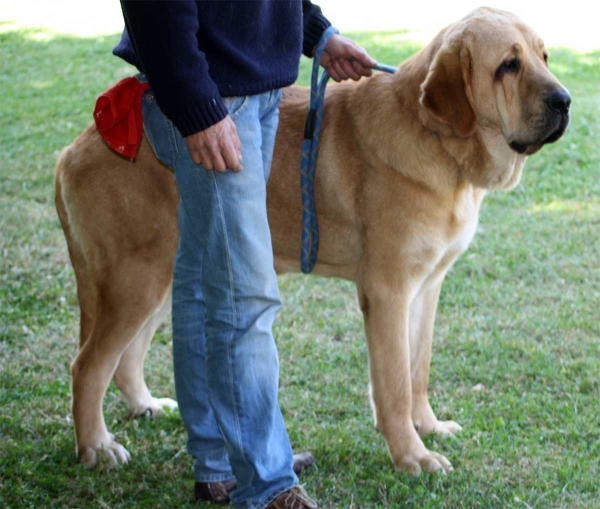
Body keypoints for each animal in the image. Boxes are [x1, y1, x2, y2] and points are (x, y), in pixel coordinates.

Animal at [56, 7, 572, 474]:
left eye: (544, 56)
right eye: (509, 65)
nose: (565, 101)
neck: (437, 138)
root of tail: (73, 150)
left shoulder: (427, 286)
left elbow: (418, 368)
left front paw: (427, 426)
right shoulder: (388, 291)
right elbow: (394, 383)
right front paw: (412, 456)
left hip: (165, 277)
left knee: (126, 358)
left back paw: (144, 405)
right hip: (135, 282)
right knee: (87, 367)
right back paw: (97, 447)